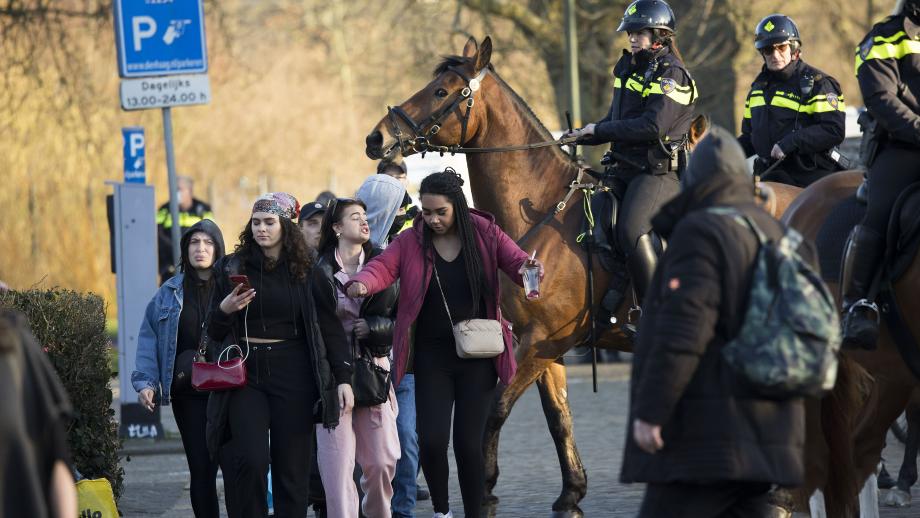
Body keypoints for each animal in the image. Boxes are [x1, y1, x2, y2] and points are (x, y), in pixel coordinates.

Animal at [362, 35, 800, 516]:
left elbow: (496, 410)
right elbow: (559, 418)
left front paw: (487, 488)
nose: (377, 137)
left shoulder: (539, 343)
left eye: (442, 90)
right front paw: (571, 492)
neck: (542, 210)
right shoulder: (543, 345)